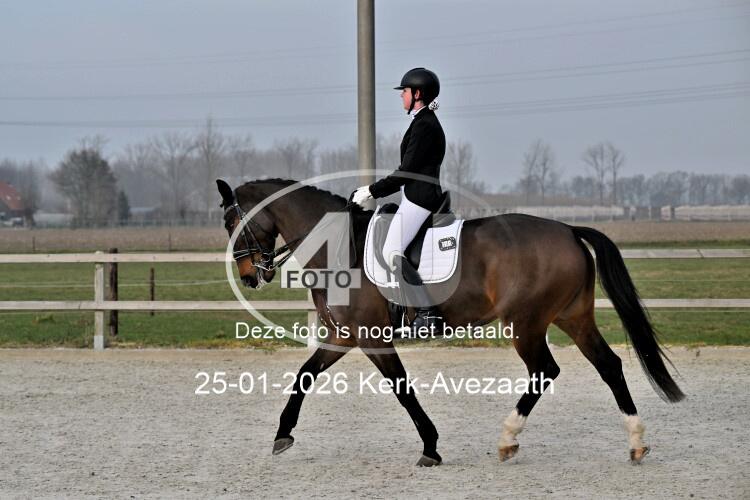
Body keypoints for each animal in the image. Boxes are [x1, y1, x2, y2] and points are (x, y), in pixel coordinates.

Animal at [216, 178, 684, 466]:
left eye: (232, 221)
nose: (250, 276)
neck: (338, 247)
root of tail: (568, 229)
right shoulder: (343, 335)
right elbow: (304, 375)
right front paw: (282, 435)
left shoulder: (372, 338)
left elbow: (402, 390)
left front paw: (431, 446)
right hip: (573, 317)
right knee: (609, 366)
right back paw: (637, 443)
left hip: (526, 323)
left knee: (544, 370)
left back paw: (508, 439)